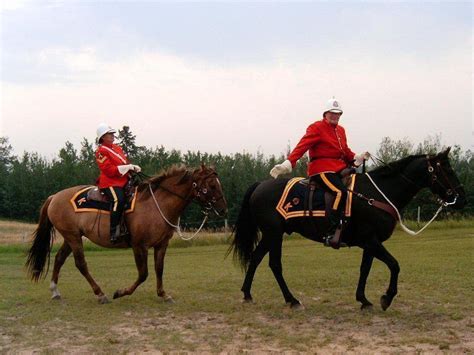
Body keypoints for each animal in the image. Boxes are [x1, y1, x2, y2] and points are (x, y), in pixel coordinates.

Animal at [26, 165, 228, 304]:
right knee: (80, 264)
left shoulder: (161, 244)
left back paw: (55, 291)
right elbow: (143, 274)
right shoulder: (139, 246)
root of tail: (54, 197)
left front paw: (163, 294)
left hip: (71, 237)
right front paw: (121, 292)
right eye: (211, 185)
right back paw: (100, 294)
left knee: (59, 258)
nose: (223, 209)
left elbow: (159, 269)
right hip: (73, 237)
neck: (156, 204)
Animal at [230, 149, 466, 310]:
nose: (460, 197)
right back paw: (292, 299)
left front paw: (363, 300)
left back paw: (247, 294)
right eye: (446, 169)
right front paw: (387, 297)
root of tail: (260, 185)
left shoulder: (369, 243)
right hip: (274, 234)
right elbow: (394, 265)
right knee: (275, 264)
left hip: (270, 235)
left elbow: (365, 269)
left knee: (255, 258)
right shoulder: (371, 240)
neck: (376, 194)